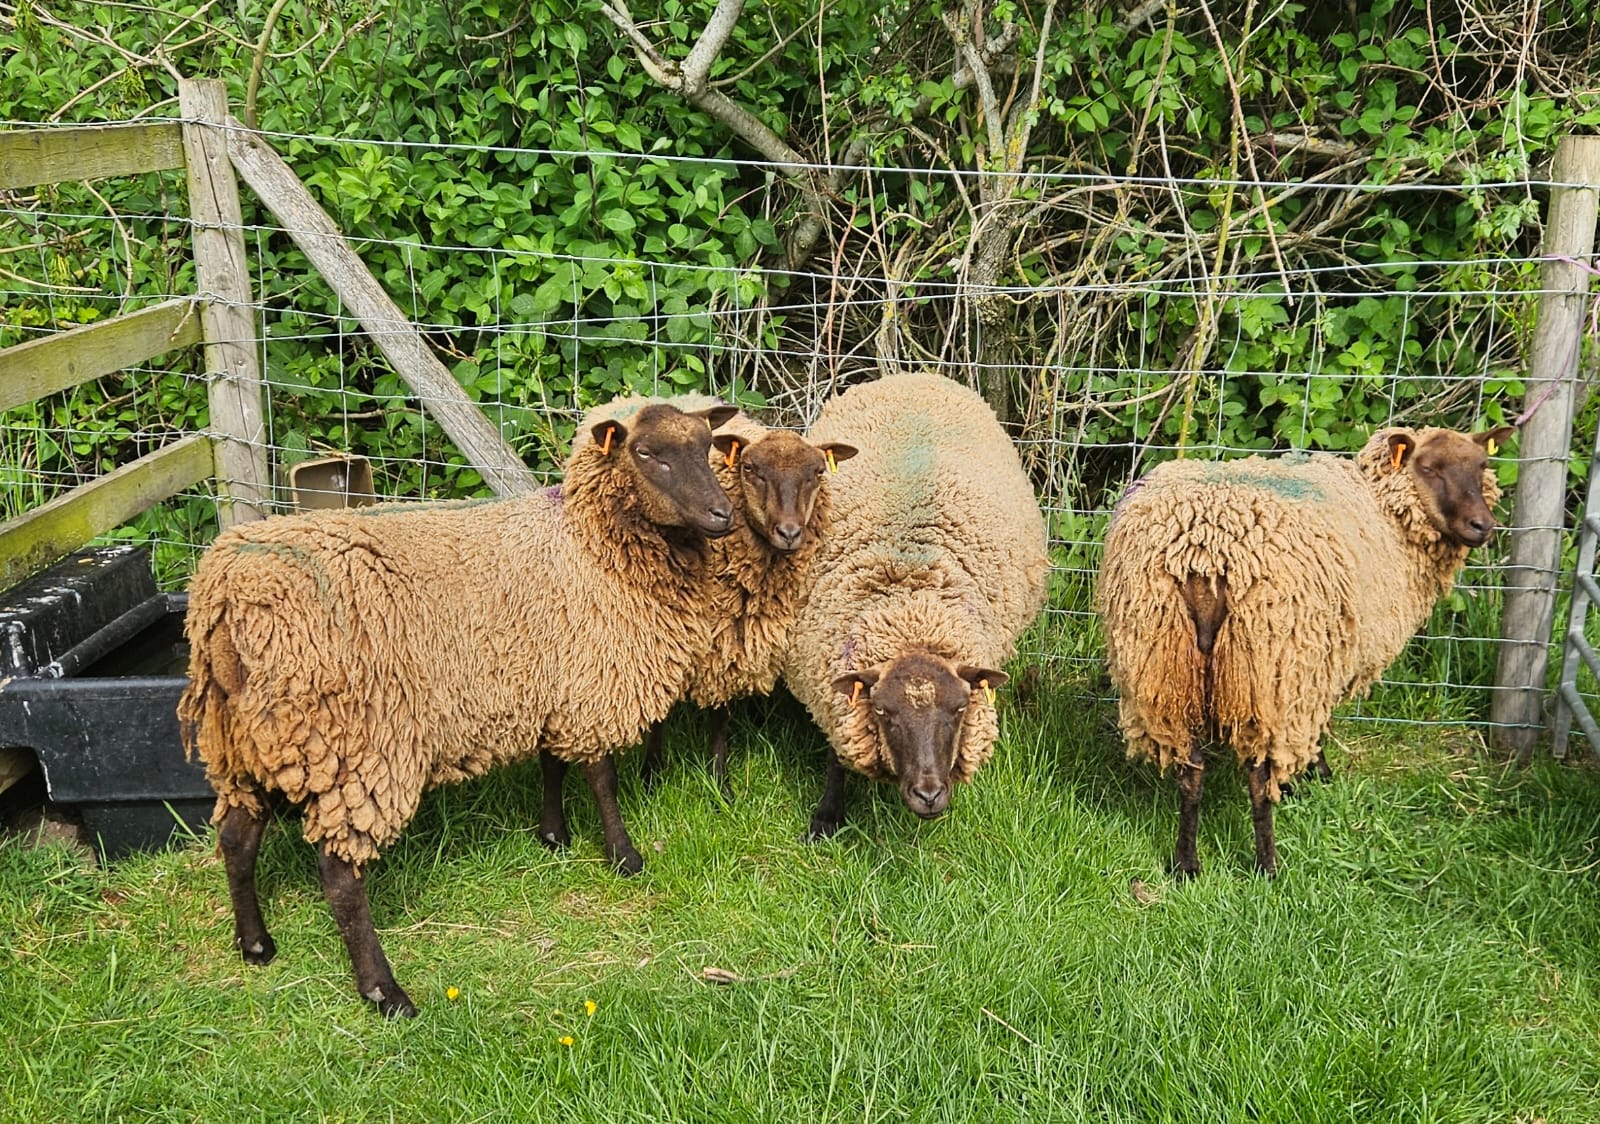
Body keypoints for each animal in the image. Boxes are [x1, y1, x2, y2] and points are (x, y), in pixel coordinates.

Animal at [178, 400, 737, 1017]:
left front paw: (553, 835)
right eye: (646, 453)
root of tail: (228, 594)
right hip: (353, 745)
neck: (587, 542)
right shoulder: (591, 683)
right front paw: (623, 856)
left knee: (237, 838)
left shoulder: (550, 681)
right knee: (339, 874)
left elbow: (552, 764)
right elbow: (602, 779)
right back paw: (384, 991)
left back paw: (255, 944)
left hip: (243, 739)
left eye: (707, 444)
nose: (724, 515)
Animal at [779, 372, 1050, 838]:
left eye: (959, 708)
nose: (928, 795)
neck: (910, 601)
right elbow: (836, 753)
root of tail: (918, 374)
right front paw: (827, 816)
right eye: (883, 711)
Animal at [1096, 423, 1515, 879]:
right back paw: (1267, 864)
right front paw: (1318, 771)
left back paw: (1186, 864)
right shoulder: (1318, 664)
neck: (1385, 515)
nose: (1484, 526)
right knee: (1259, 777)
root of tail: (1205, 551)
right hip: (1267, 668)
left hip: (1163, 662)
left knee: (1192, 770)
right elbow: (1320, 725)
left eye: (1482, 465)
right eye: (1430, 468)